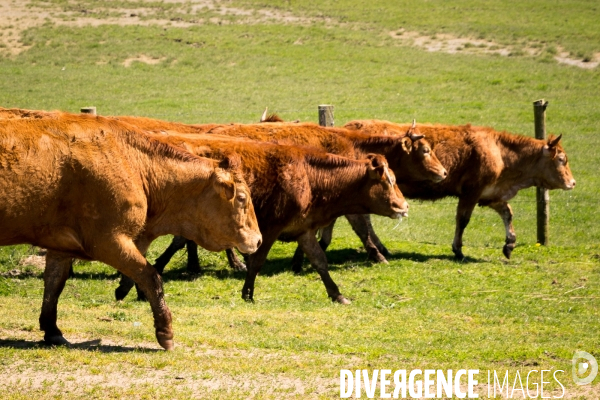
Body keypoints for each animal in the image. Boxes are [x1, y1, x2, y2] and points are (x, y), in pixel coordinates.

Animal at [0, 113, 262, 350]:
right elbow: (151, 276)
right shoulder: (109, 240)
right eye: (241, 198)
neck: (134, 164)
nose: (259, 240)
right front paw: (165, 332)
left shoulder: (60, 245)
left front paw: (52, 330)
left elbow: (54, 285)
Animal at [115, 134, 410, 304]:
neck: (309, 177)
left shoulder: (303, 230)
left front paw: (337, 294)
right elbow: (257, 261)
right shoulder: (270, 229)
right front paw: (247, 293)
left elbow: (320, 262)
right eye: (389, 181)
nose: (404, 206)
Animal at [342, 120, 576, 258]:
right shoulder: (471, 192)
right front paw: (458, 250)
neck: (499, 151)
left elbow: (507, 213)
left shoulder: (490, 194)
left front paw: (509, 245)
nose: (572, 183)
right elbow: (463, 219)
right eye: (562, 159)